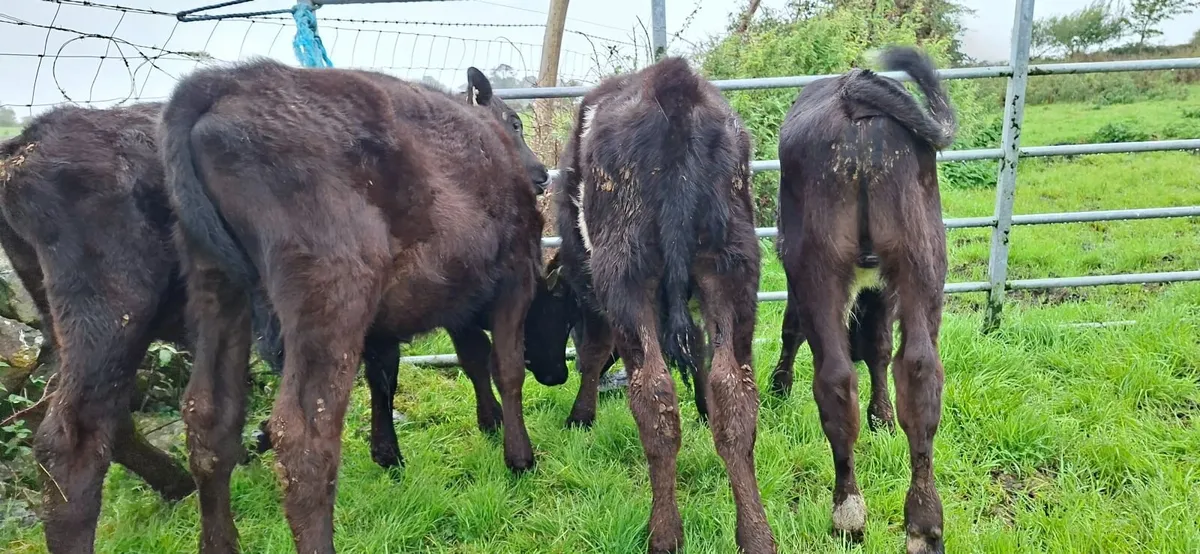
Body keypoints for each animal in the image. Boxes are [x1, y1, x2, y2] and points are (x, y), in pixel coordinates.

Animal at [160, 59, 548, 553]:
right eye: (515, 123)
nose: (543, 173)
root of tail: (225, 82)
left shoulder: (435, 303)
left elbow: (406, 373)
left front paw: (397, 453)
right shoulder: (516, 271)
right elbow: (508, 366)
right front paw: (519, 457)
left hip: (215, 285)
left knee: (207, 418)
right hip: (332, 291)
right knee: (303, 438)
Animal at [549, 56, 776, 554]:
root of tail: (674, 85)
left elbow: (593, 351)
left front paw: (581, 415)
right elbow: (703, 351)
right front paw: (704, 408)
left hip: (625, 274)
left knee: (653, 393)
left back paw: (665, 533)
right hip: (732, 266)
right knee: (735, 391)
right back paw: (756, 534)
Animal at [770, 46, 957, 553]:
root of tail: (852, 93)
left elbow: (797, 330)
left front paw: (779, 385)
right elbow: (877, 349)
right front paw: (883, 417)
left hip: (818, 270)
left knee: (836, 377)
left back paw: (847, 514)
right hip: (922, 262)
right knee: (919, 370)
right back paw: (923, 523)